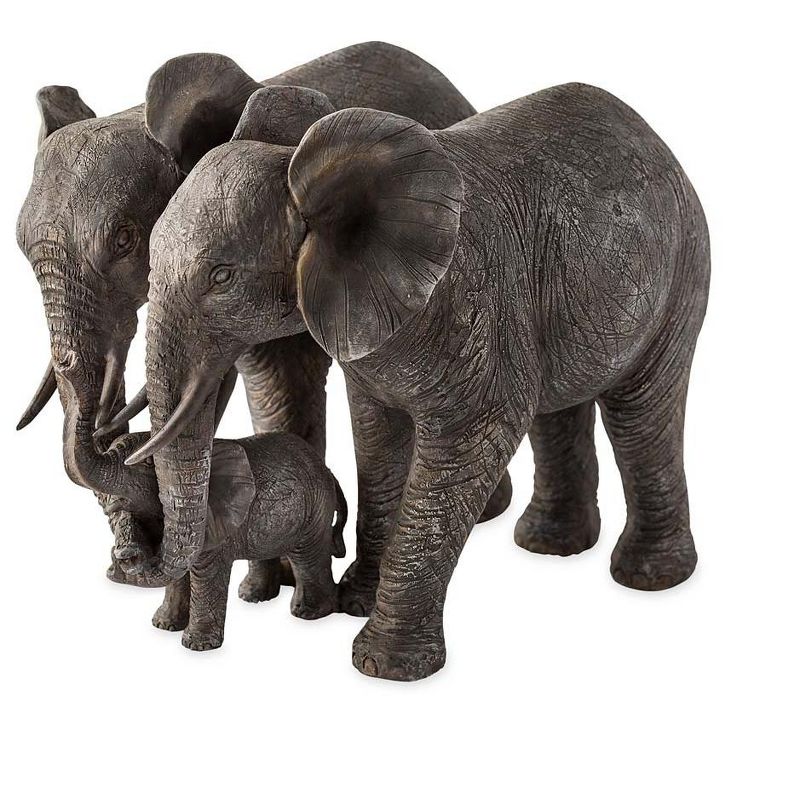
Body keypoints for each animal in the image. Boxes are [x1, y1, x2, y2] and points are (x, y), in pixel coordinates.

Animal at [57, 349, 346, 650]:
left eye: (145, 466)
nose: (67, 362)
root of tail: (329, 473)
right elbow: (177, 570)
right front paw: (163, 626)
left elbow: (205, 573)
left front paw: (195, 646)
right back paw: (252, 596)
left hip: (316, 509)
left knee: (308, 555)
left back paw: (308, 613)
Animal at [123, 82, 710, 680]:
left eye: (222, 277)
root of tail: (655, 137)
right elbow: (378, 439)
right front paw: (353, 601)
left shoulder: (472, 302)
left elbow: (473, 436)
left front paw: (381, 663)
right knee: (559, 407)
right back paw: (549, 545)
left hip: (681, 268)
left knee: (638, 411)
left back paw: (647, 576)